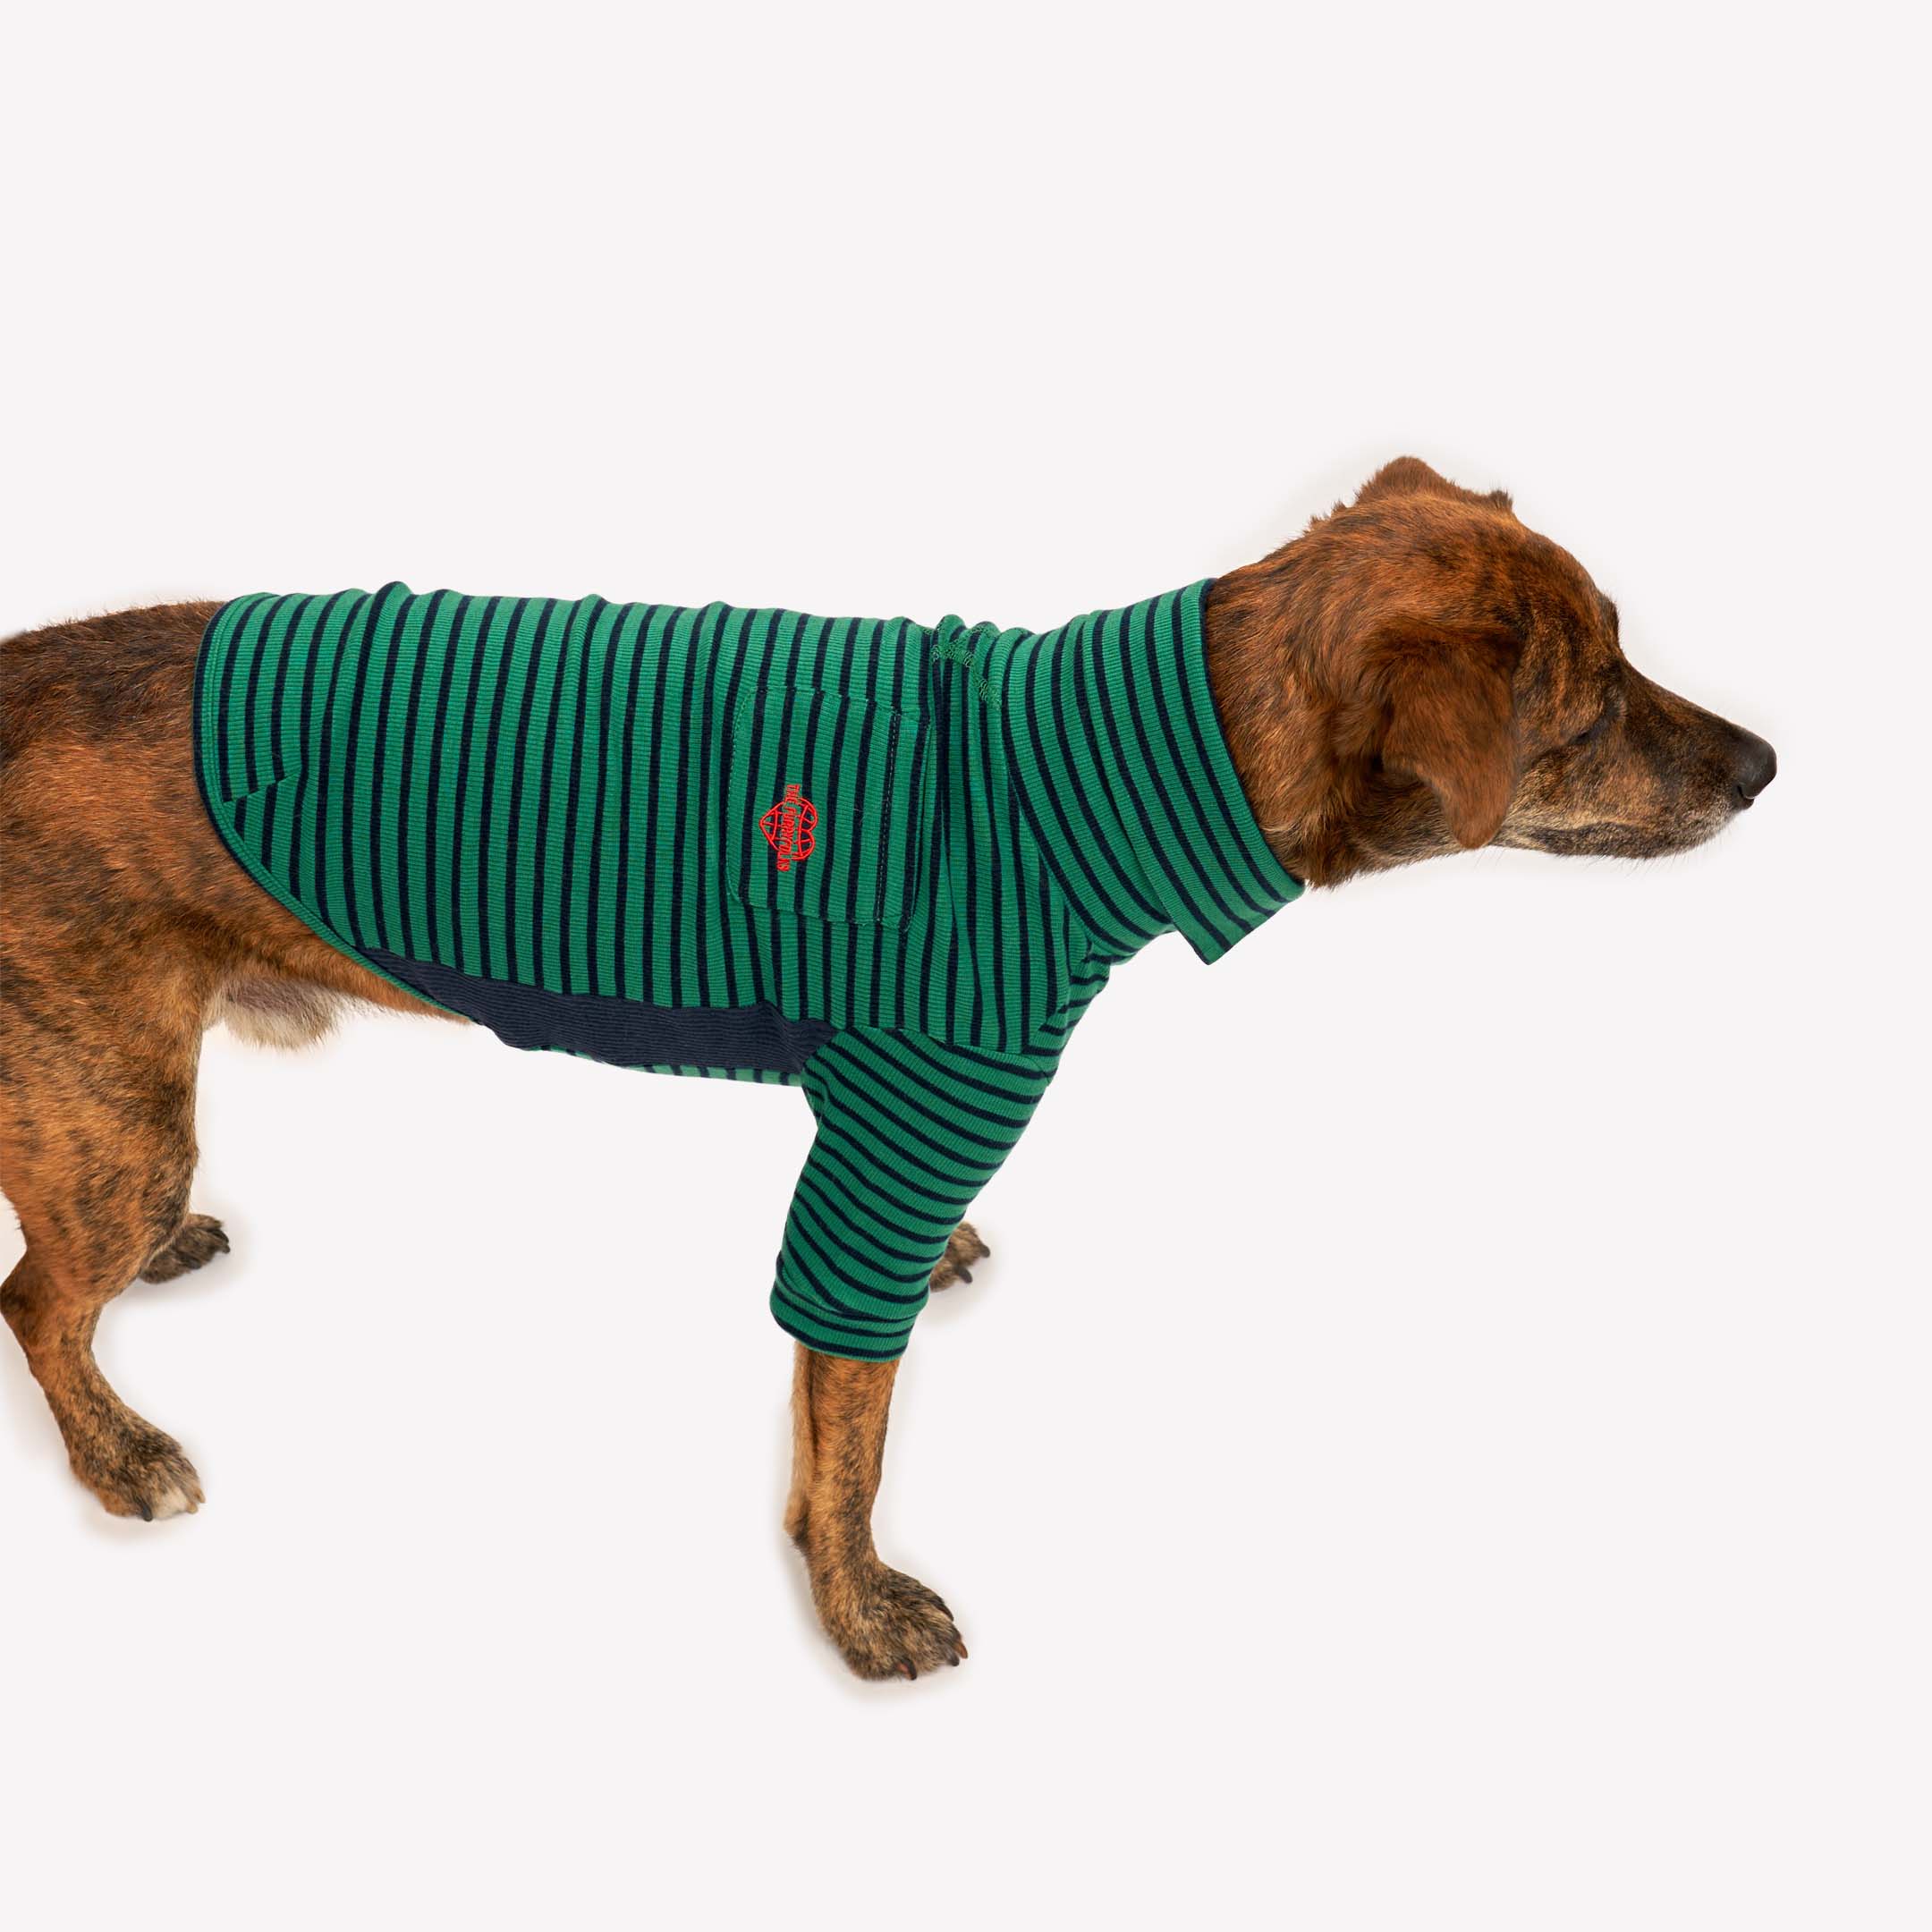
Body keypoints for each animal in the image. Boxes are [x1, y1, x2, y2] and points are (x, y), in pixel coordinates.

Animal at [0, 463, 1777, 1676]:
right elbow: (842, 1438)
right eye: (1588, 712)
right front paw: (856, 1607)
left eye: (1629, 659)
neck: (1085, 784)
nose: (1765, 765)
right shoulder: (896, 1139)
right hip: (120, 1108)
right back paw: (118, 1452)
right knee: (35, 1299)